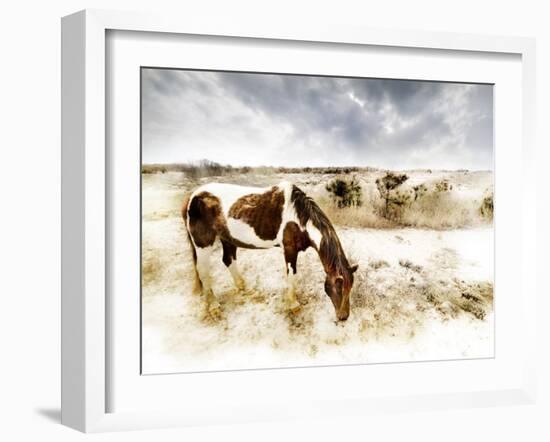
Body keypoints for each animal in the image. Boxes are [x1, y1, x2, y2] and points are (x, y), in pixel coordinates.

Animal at [183, 180, 360, 322]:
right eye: (338, 287)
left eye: (350, 288)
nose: (343, 317)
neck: (298, 218)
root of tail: (192, 197)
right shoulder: (289, 250)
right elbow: (292, 275)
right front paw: (293, 305)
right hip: (203, 244)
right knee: (203, 272)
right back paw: (214, 306)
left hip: (227, 239)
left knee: (228, 260)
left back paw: (244, 288)